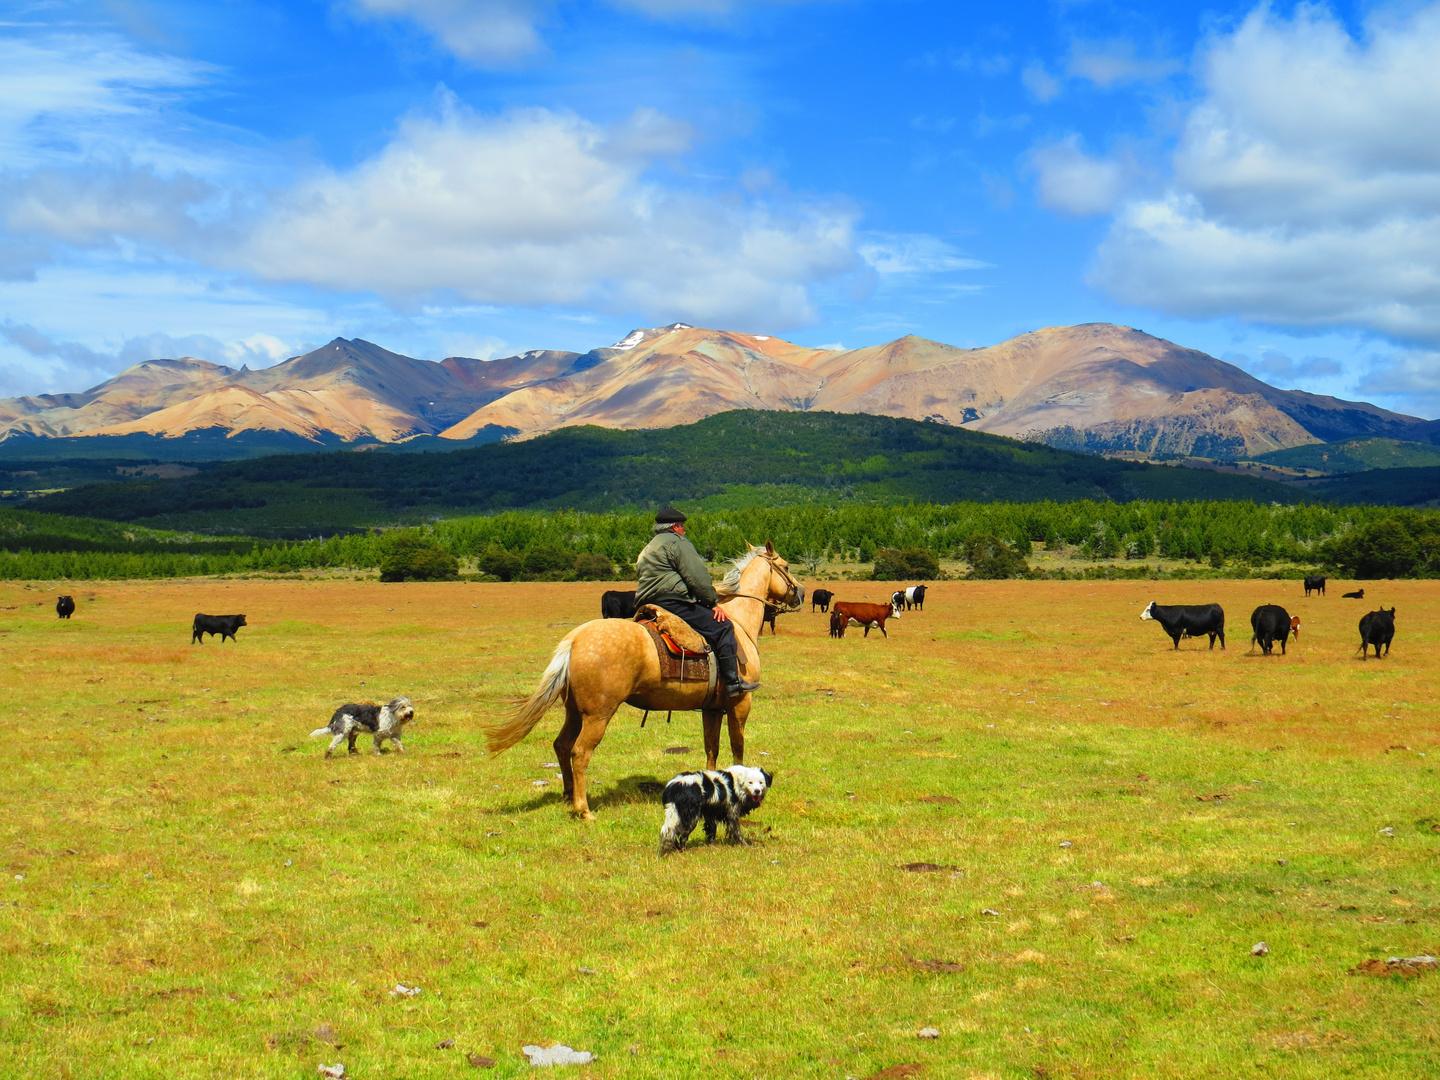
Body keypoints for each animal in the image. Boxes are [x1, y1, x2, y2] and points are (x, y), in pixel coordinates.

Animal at [480, 541, 800, 817]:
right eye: (785, 565)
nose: (800, 594)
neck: (738, 622)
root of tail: (575, 639)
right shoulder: (741, 702)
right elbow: (737, 747)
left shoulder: (711, 709)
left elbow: (712, 748)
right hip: (598, 715)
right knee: (579, 752)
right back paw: (584, 810)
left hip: (574, 711)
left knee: (561, 745)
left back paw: (569, 796)